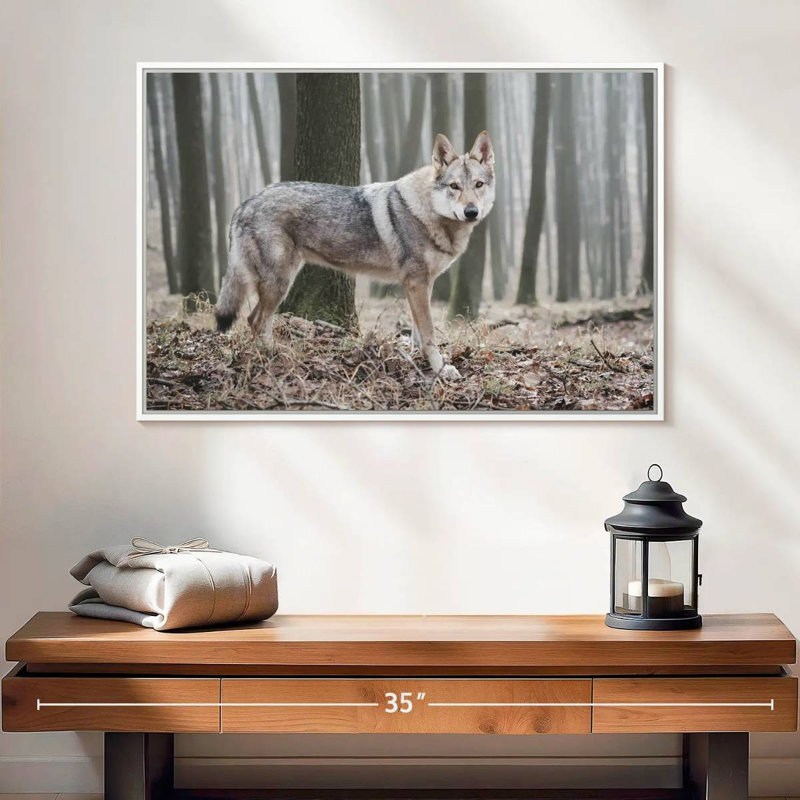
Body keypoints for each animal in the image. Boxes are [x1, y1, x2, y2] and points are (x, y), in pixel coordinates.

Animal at [215, 131, 495, 381]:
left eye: (478, 185)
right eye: (454, 186)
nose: (471, 212)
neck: (428, 212)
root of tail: (244, 204)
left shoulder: (423, 284)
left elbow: (419, 333)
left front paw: (421, 363)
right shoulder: (416, 283)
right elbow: (429, 334)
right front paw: (441, 369)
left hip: (280, 283)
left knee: (256, 320)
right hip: (279, 283)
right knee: (255, 320)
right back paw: (272, 356)